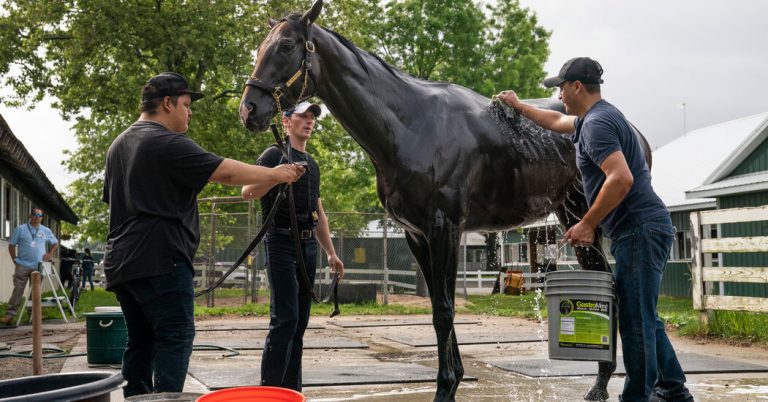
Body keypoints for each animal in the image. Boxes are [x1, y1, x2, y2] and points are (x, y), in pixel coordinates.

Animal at [238, 0, 648, 398]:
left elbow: (445, 311)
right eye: (258, 48)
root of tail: (633, 132)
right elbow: (437, 305)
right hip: (575, 220)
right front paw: (454, 378)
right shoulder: (417, 235)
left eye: (286, 46)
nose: (249, 110)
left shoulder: (444, 229)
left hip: (589, 218)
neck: (410, 126)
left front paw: (446, 386)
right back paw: (599, 383)